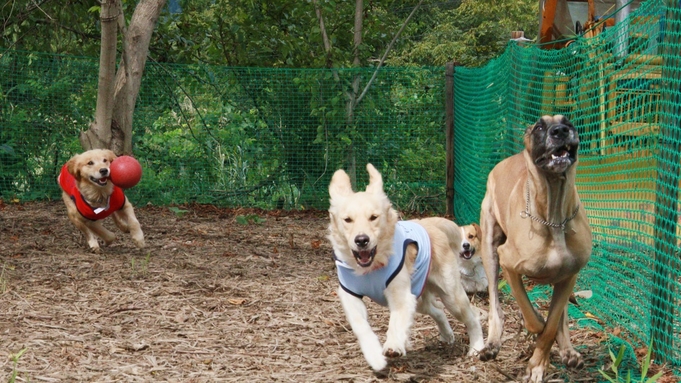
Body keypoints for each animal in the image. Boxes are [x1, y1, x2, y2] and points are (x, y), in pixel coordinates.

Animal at [326, 164, 480, 372]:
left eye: (373, 217)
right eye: (347, 219)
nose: (361, 240)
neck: (372, 266)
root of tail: (430, 223)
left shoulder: (401, 295)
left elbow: (396, 321)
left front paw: (393, 345)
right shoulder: (350, 295)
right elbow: (361, 326)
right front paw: (374, 355)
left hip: (451, 296)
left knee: (472, 317)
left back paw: (477, 347)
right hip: (420, 298)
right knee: (438, 310)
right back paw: (447, 335)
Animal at [478, 115, 588, 382]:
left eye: (568, 122)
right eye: (539, 127)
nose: (560, 131)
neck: (554, 218)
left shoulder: (570, 275)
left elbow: (552, 325)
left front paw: (538, 365)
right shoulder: (508, 264)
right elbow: (534, 320)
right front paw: (538, 330)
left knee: (561, 316)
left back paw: (567, 349)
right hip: (489, 249)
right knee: (496, 306)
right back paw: (492, 344)